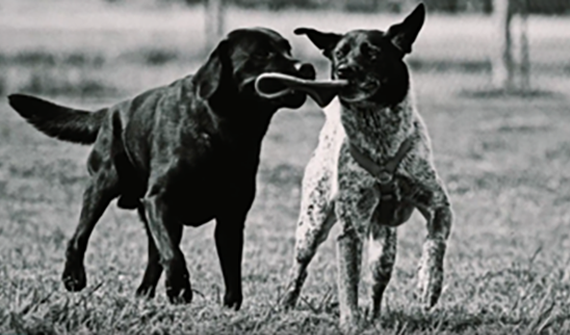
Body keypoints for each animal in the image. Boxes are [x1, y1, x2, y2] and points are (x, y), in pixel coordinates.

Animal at [7, 27, 316, 312]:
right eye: (263, 53)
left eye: (288, 49)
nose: (307, 68)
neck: (222, 128)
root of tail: (111, 110)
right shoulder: (159, 200)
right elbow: (175, 255)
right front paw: (180, 290)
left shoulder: (231, 216)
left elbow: (230, 266)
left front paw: (230, 306)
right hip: (103, 184)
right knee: (80, 235)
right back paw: (74, 277)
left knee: (154, 256)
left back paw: (143, 293)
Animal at [278, 3, 448, 330]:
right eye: (339, 54)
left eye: (372, 53)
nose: (343, 71)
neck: (379, 136)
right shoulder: (351, 228)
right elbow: (348, 282)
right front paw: (350, 322)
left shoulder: (437, 203)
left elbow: (436, 242)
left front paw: (428, 283)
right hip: (312, 223)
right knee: (300, 265)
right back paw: (286, 302)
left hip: (385, 249)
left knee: (378, 283)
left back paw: (375, 315)